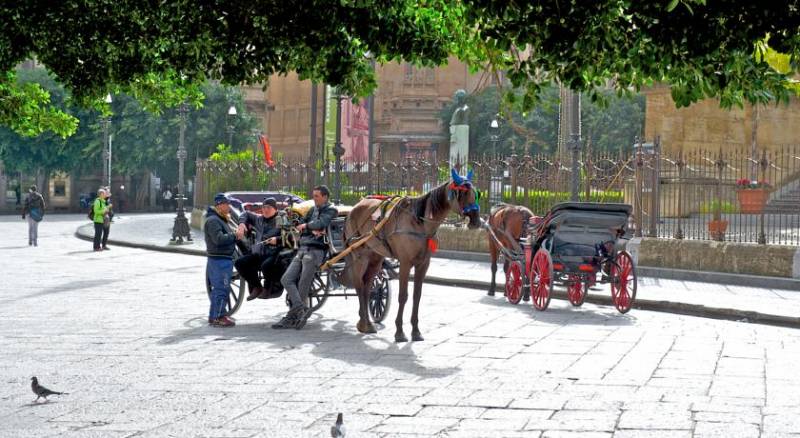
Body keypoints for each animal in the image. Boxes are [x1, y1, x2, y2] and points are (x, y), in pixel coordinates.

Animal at [340, 170, 478, 342]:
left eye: (475, 193)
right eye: (461, 193)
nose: (476, 220)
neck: (419, 223)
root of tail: (353, 209)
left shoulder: (423, 264)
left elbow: (416, 296)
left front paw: (416, 331)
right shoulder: (405, 263)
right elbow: (403, 296)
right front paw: (399, 331)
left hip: (375, 257)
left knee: (366, 287)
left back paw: (365, 323)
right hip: (359, 256)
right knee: (359, 285)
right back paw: (364, 322)